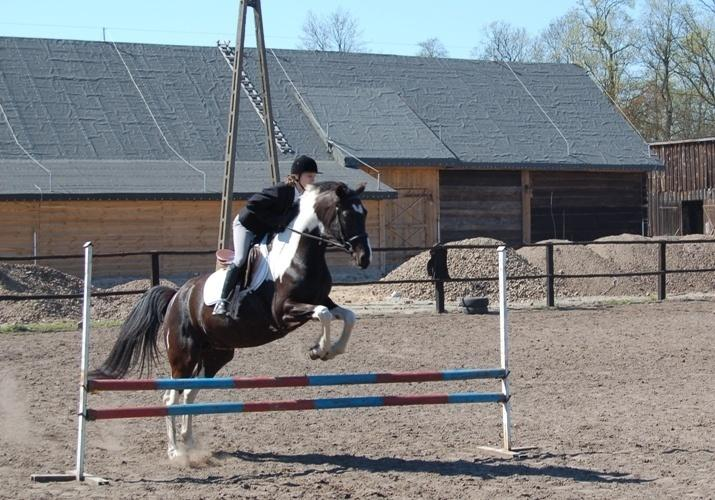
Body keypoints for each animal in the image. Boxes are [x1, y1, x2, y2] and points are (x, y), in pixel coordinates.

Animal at [90, 182, 372, 458]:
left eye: (365, 213)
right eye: (347, 214)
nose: (364, 258)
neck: (299, 253)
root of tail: (176, 297)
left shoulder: (323, 300)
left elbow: (347, 316)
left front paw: (330, 350)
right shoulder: (284, 312)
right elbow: (323, 314)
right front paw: (319, 350)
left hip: (216, 354)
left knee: (189, 393)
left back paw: (188, 441)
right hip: (183, 356)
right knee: (171, 397)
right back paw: (175, 452)